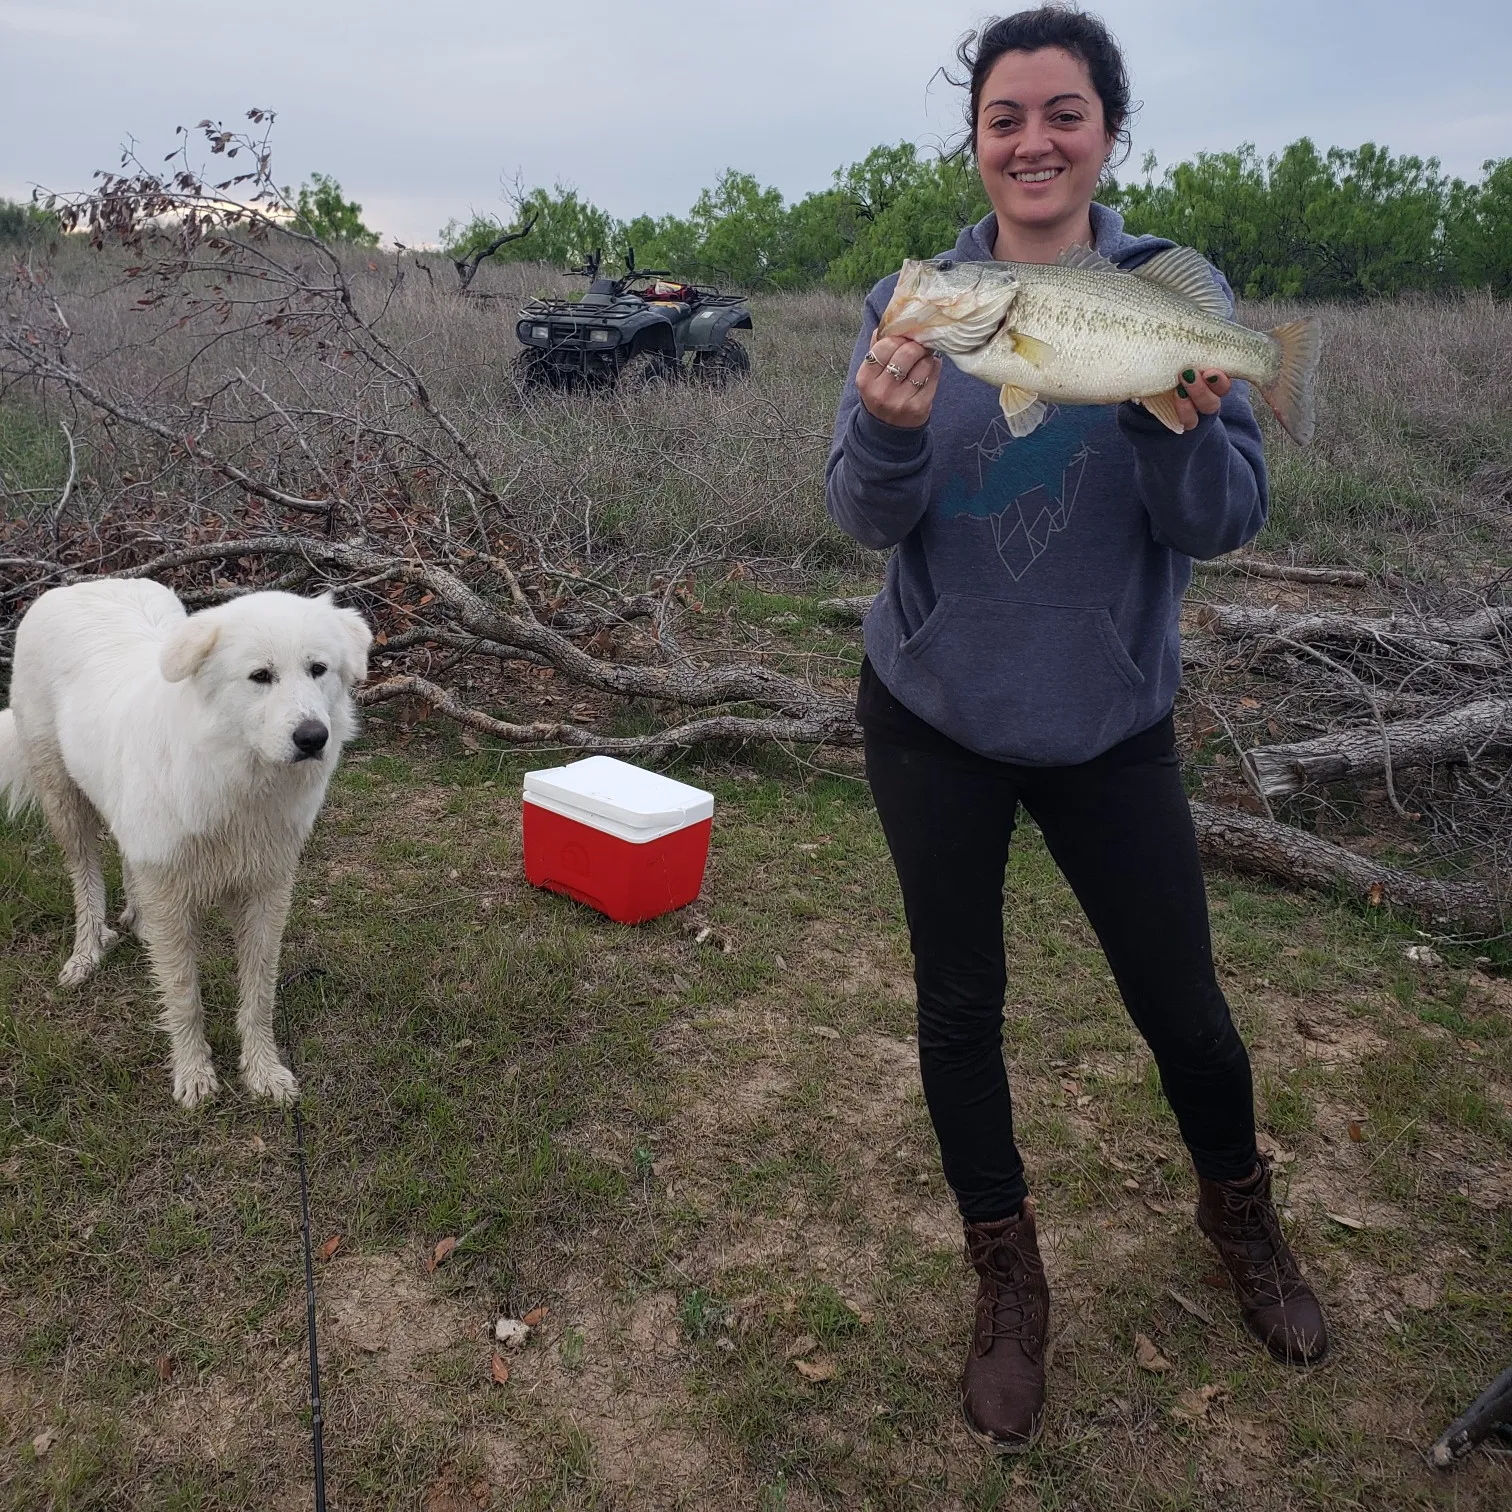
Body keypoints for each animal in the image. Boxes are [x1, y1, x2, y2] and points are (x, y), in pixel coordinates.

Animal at [0, 583, 371, 1106]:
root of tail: (82, 585)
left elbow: (259, 993)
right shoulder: (174, 902)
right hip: (64, 801)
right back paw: (87, 952)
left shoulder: (266, 893)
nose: (314, 737)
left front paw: (263, 1072)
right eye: (261, 676)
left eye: (318, 669)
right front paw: (194, 1075)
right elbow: (183, 996)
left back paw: (136, 921)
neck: (237, 782)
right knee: (85, 875)